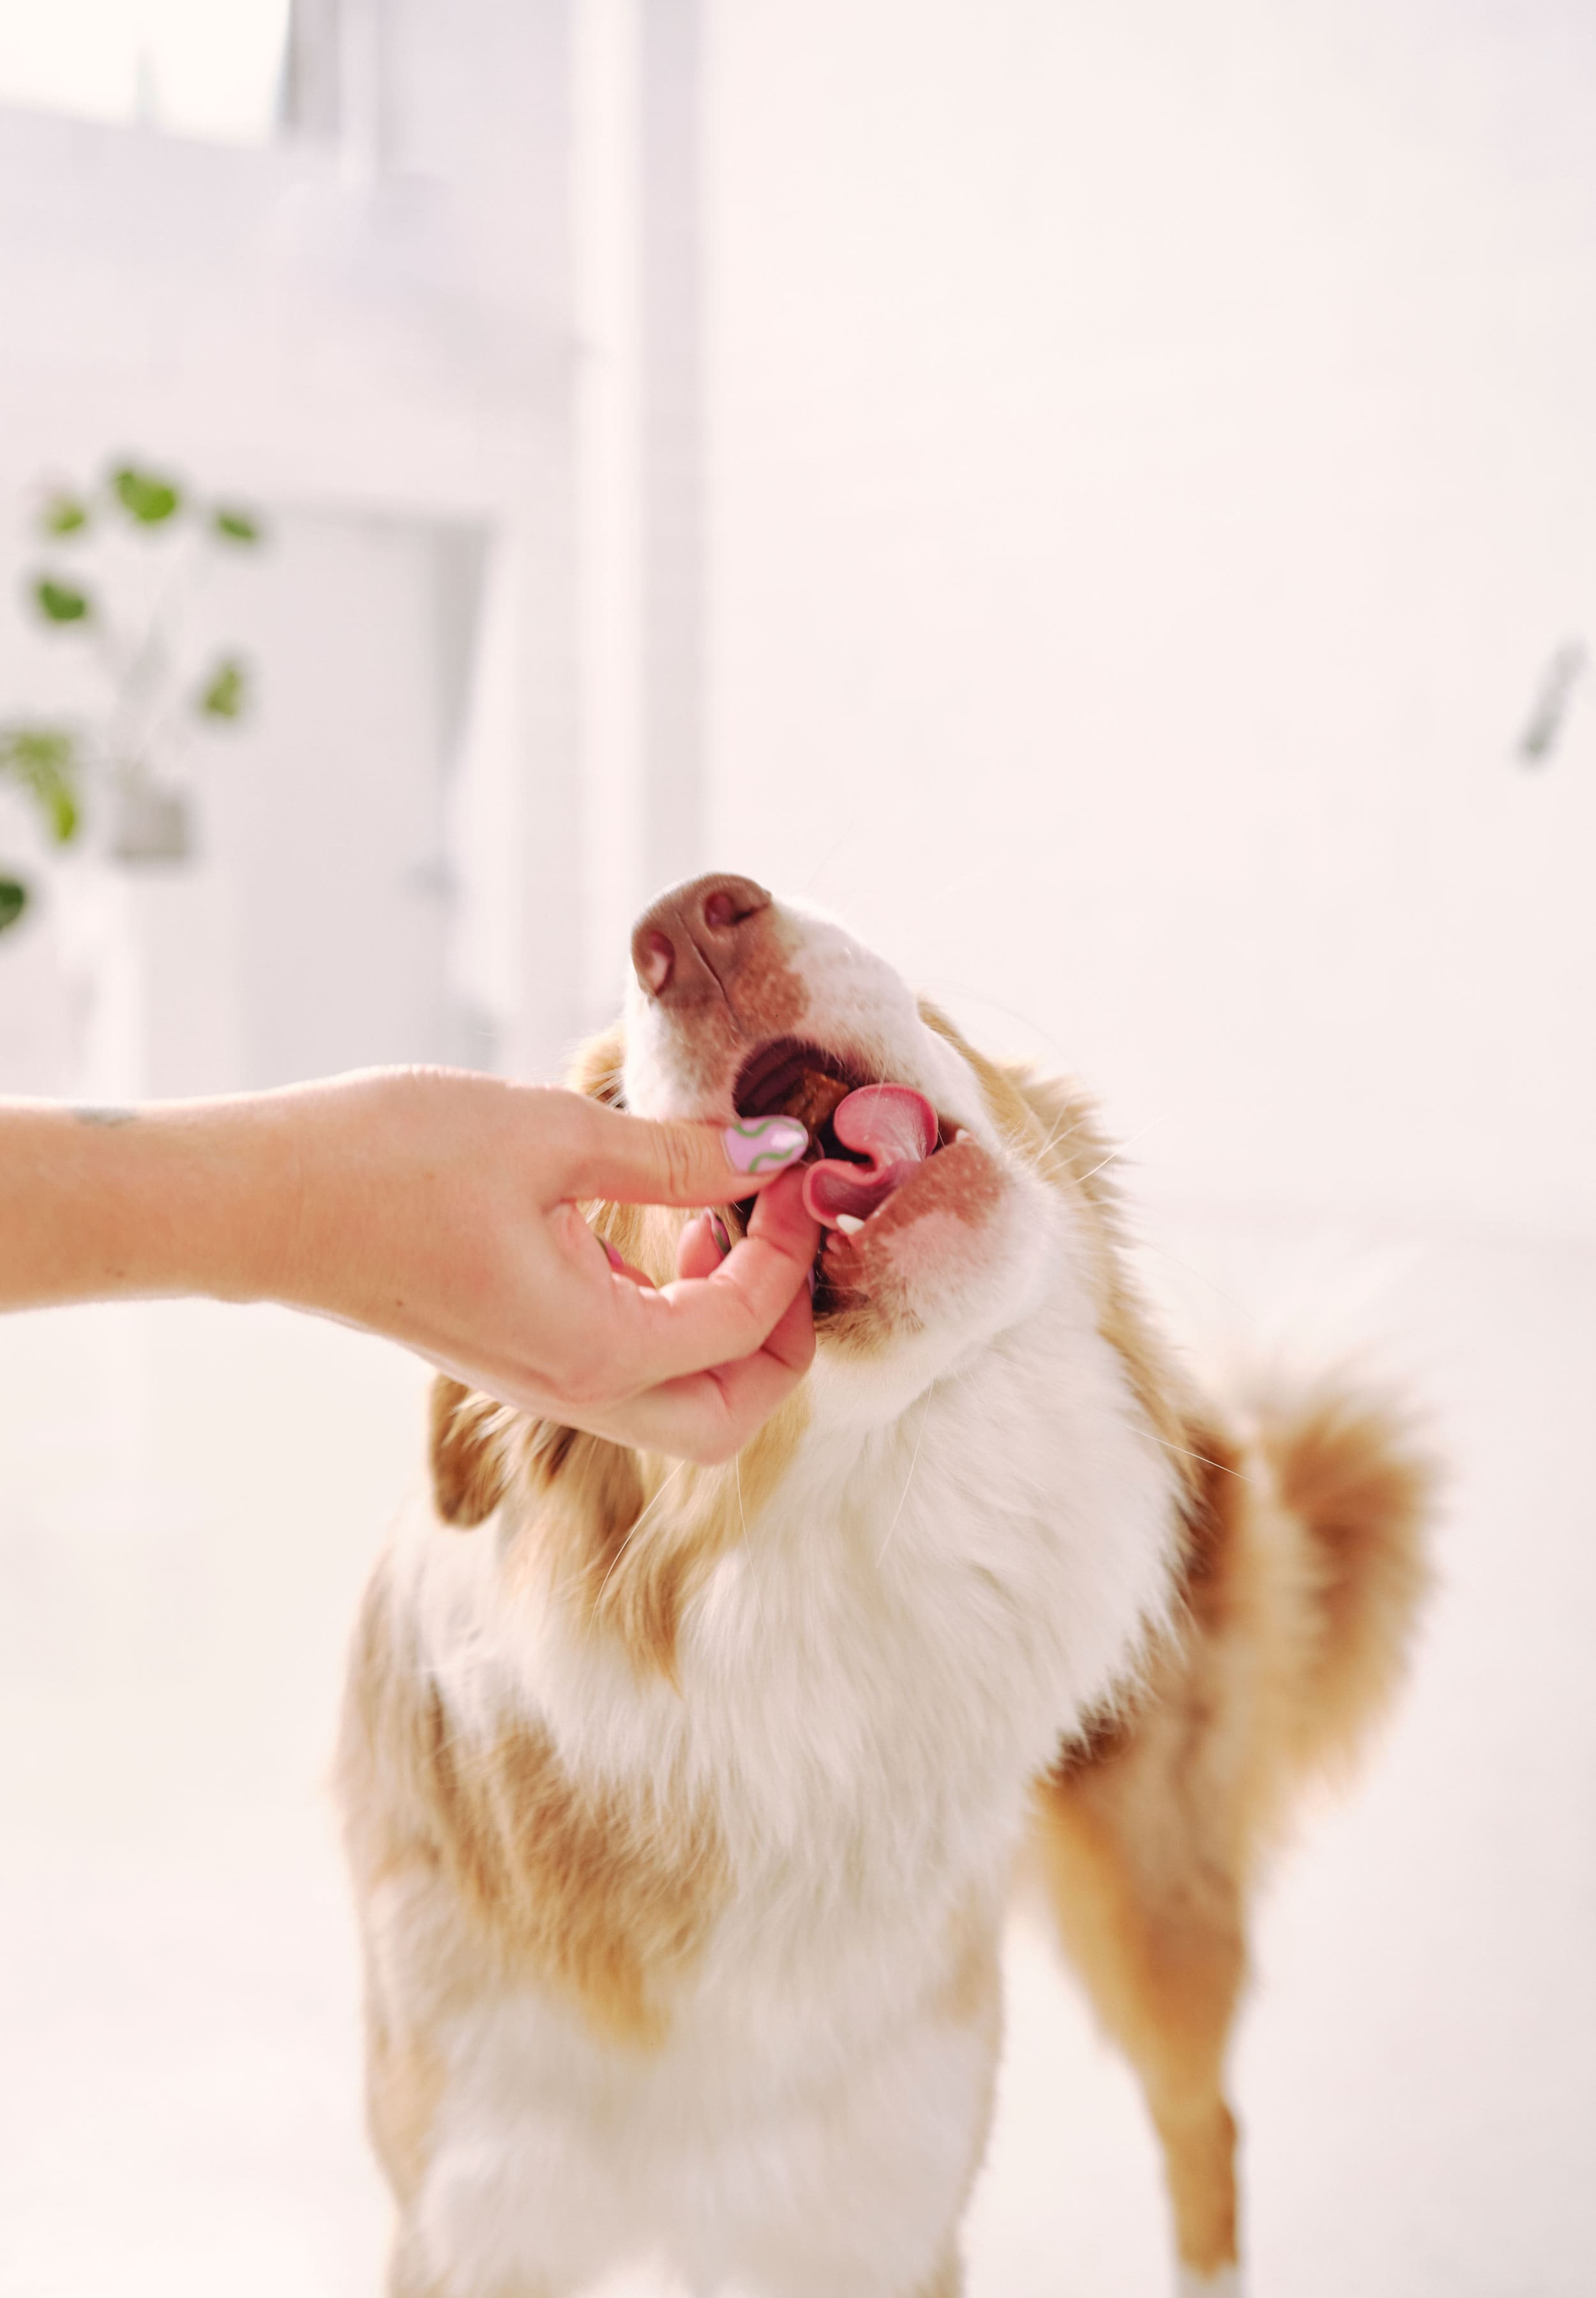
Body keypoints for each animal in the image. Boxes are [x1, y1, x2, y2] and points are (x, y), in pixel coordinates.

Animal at [340, 873, 1434, 2298]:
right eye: (606, 1111)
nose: (688, 924)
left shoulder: (876, 2204)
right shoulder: (473, 2210)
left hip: (1155, 1901)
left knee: (1206, 2130)